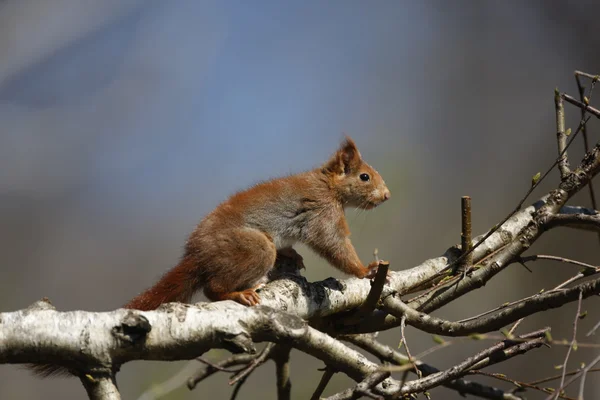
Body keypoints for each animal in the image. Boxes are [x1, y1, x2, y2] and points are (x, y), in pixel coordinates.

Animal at [124, 136, 392, 310]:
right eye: (365, 177)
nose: (387, 196)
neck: (328, 186)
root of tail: (196, 255)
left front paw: (291, 254)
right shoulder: (323, 213)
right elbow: (333, 244)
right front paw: (366, 270)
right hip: (253, 247)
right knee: (213, 288)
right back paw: (238, 294)